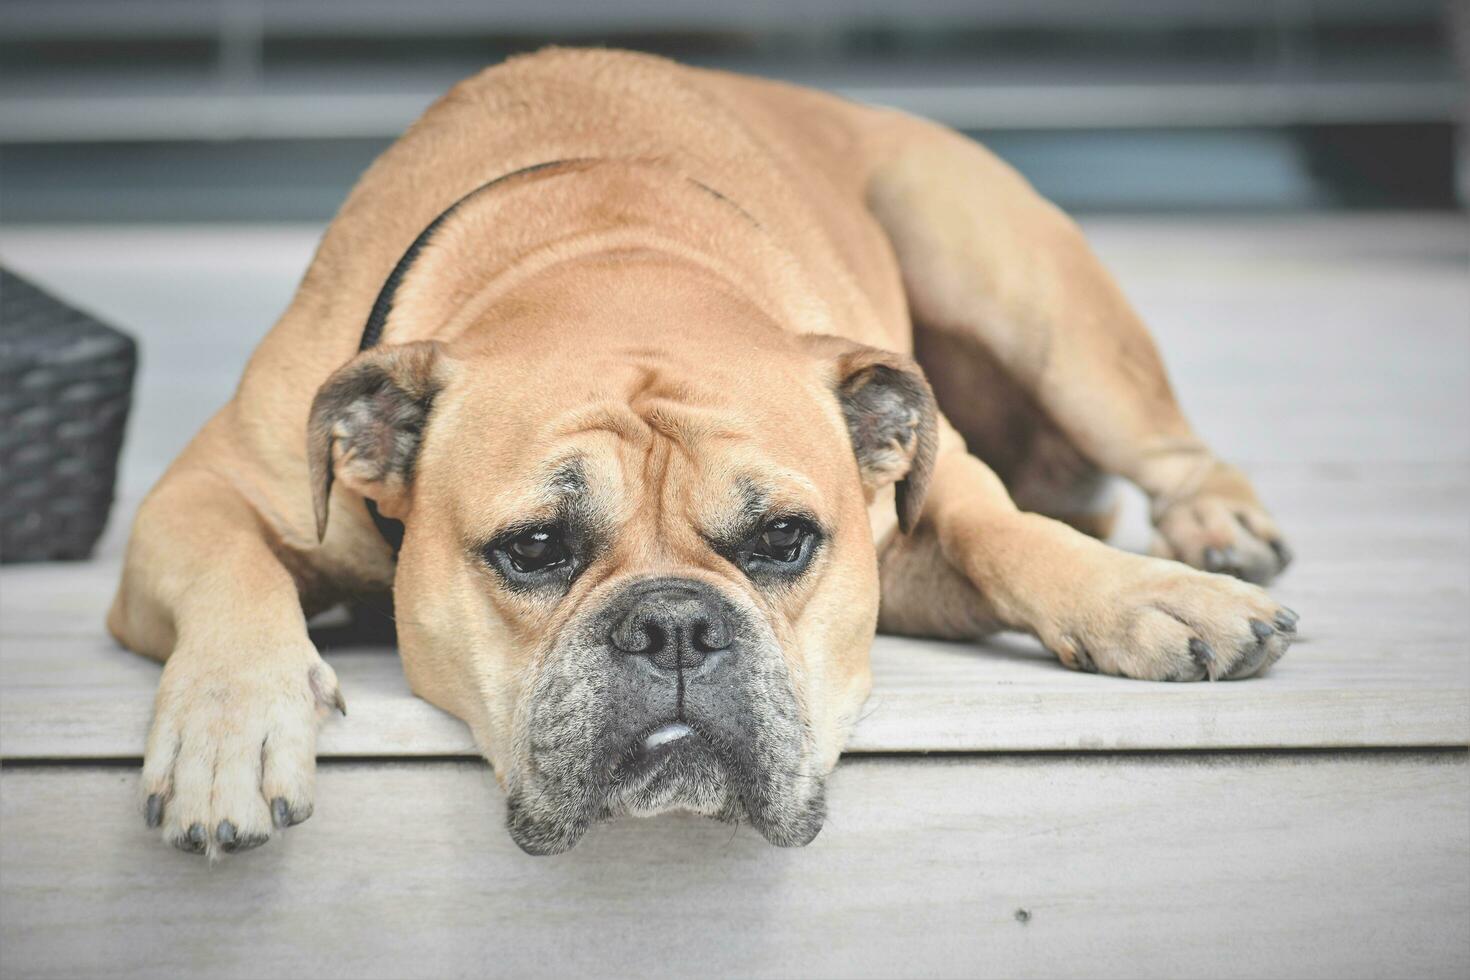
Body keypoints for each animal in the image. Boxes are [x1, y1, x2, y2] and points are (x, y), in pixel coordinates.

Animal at [108, 47, 1293, 858]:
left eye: (784, 539)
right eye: (533, 548)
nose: (674, 624)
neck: (603, 255)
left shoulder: (927, 489)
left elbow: (1004, 529)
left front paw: (1146, 596)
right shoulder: (196, 495)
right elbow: (231, 568)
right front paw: (230, 726)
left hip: (1020, 283)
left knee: (1160, 447)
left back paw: (1214, 531)